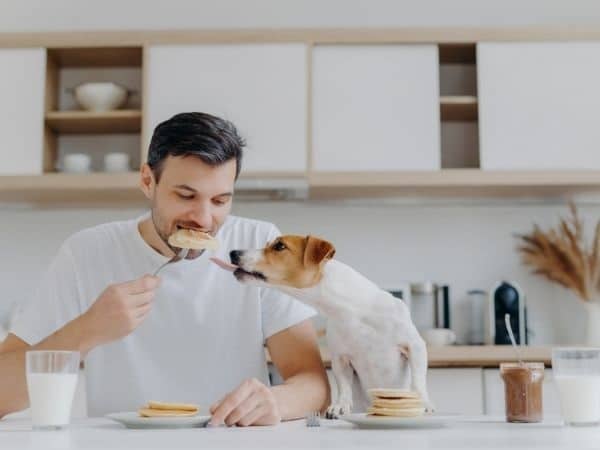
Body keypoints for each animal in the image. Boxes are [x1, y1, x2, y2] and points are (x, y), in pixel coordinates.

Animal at [211, 237, 432, 416]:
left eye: (279, 246)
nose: (233, 252)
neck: (352, 311)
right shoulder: (340, 359)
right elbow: (343, 386)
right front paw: (340, 406)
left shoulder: (415, 346)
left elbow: (418, 379)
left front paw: (424, 403)